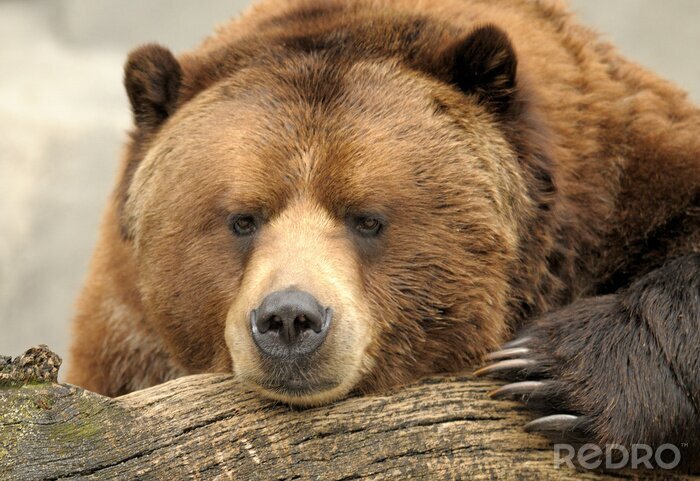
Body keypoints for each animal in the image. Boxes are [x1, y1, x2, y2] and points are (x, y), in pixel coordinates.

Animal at [67, 0, 700, 467]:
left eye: (367, 218)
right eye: (242, 219)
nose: (290, 319)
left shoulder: (619, 181)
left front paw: (549, 375)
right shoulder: (123, 340)